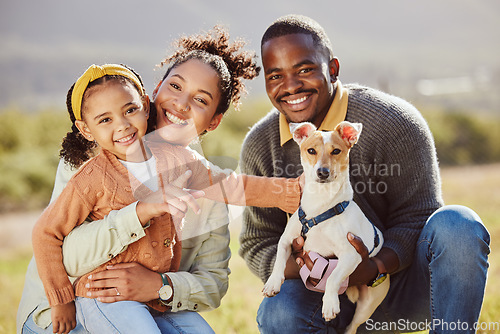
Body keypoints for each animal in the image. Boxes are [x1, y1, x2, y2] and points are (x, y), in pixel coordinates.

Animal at [264, 121, 388, 332]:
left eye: (336, 151)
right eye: (311, 150)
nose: (322, 172)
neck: (320, 204)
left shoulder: (351, 254)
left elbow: (332, 278)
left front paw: (330, 303)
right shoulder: (287, 240)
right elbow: (279, 259)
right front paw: (273, 282)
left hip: (368, 304)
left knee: (353, 326)